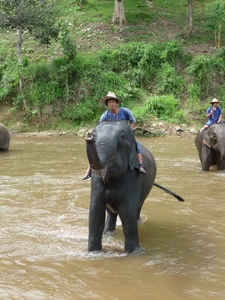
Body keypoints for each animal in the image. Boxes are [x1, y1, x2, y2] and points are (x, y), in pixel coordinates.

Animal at [85, 119, 184, 253]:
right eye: (94, 135)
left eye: (122, 137)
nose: (88, 136)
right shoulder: (96, 179)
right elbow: (96, 212)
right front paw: (93, 252)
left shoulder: (133, 177)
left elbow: (127, 212)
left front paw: (134, 252)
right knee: (111, 212)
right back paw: (108, 234)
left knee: (137, 208)